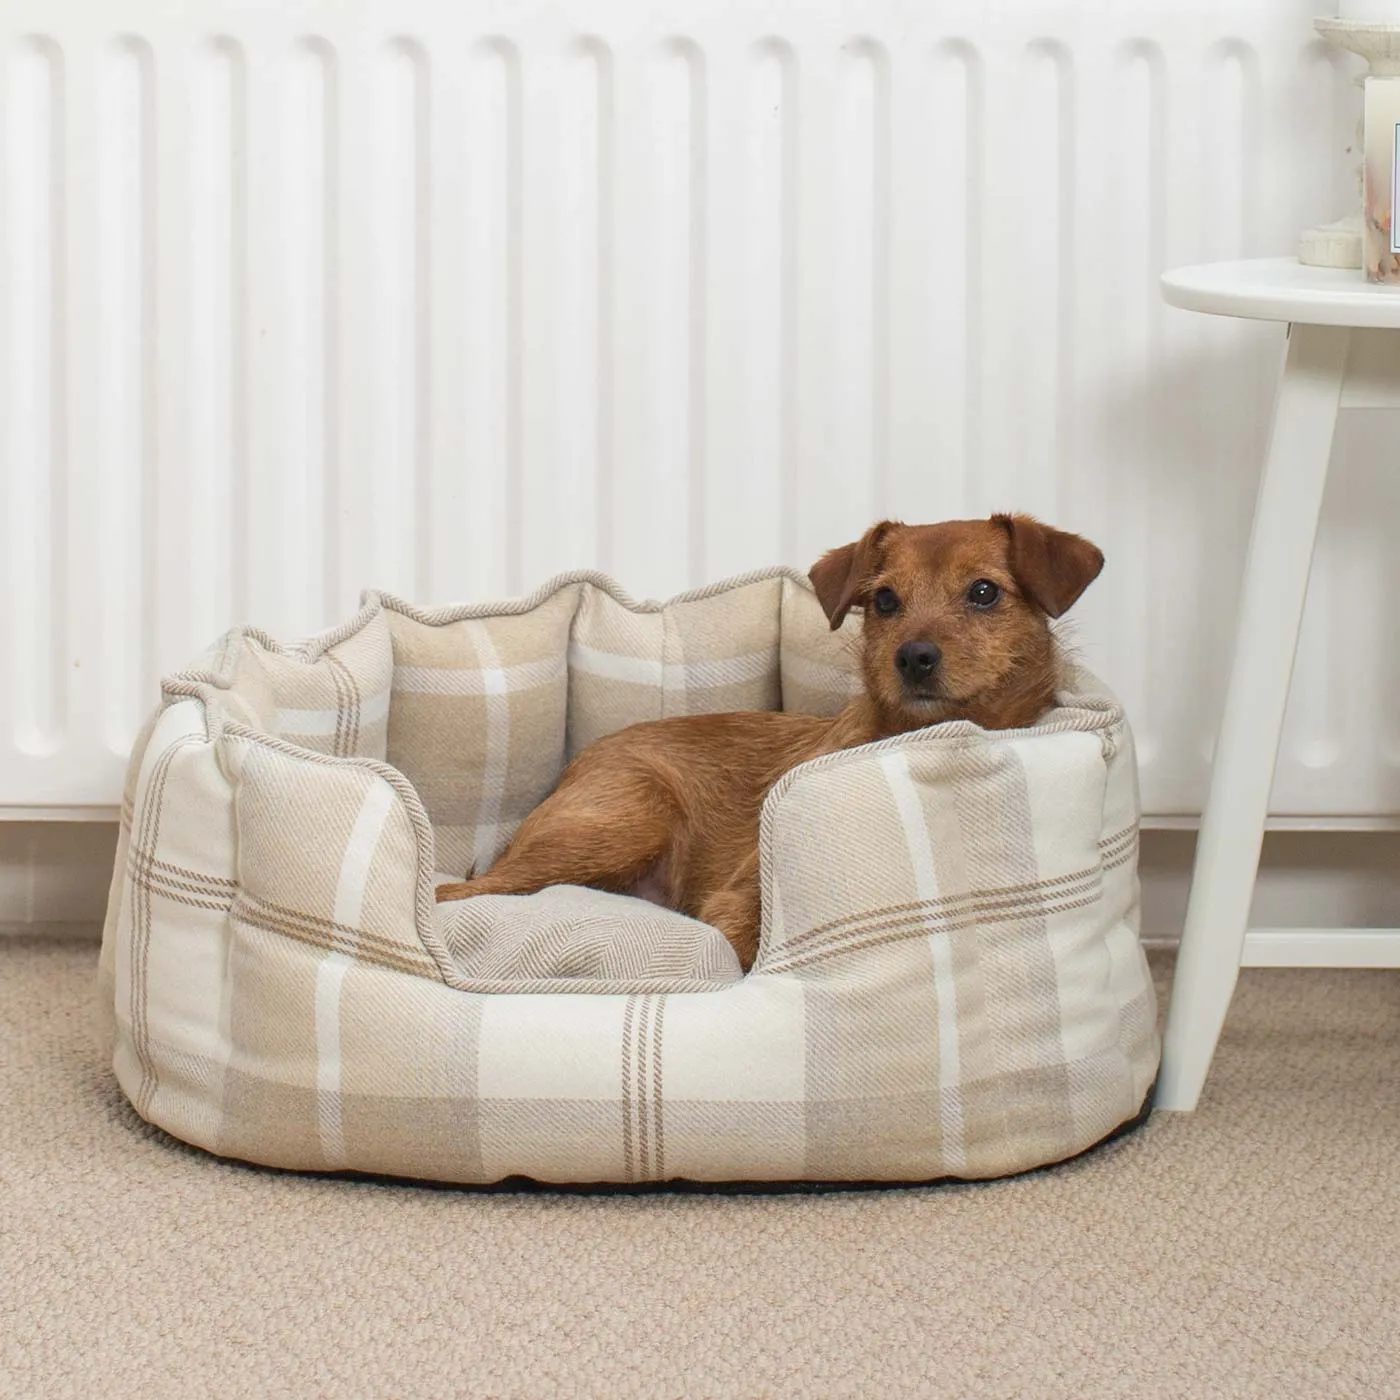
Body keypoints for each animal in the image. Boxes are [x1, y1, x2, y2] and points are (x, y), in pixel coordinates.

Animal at [436, 509, 1103, 968]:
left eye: (984, 592)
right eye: (885, 600)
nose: (913, 657)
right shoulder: (734, 903)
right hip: (627, 819)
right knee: (456, 890)